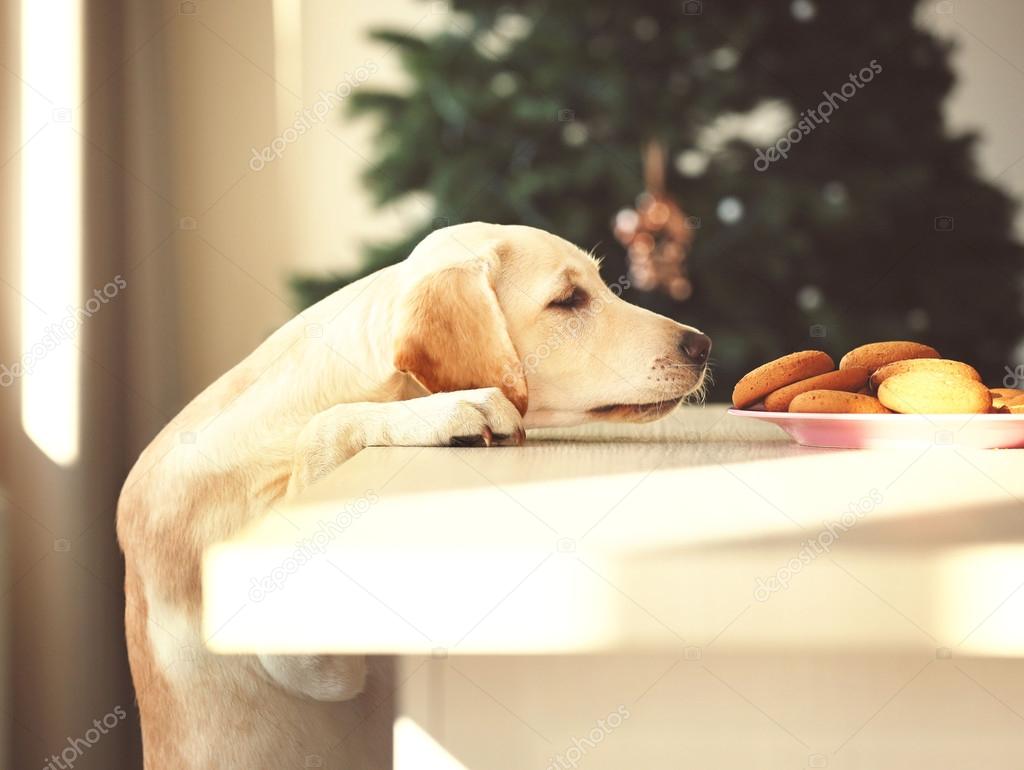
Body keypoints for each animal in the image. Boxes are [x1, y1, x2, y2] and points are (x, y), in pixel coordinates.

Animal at [116, 222, 712, 770]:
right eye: (568, 300)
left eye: (601, 285)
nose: (702, 345)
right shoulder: (300, 655)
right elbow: (323, 430)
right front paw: (453, 409)